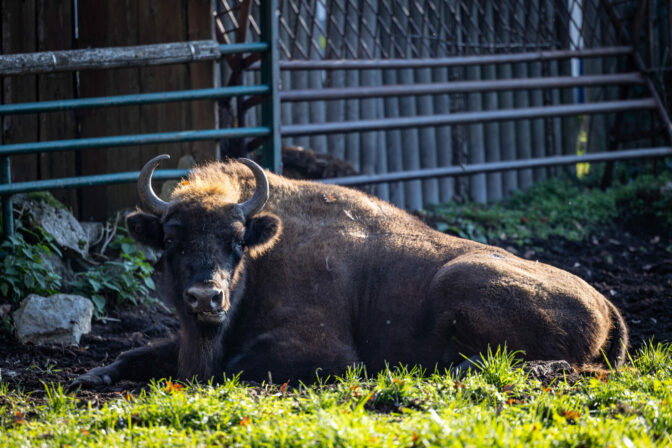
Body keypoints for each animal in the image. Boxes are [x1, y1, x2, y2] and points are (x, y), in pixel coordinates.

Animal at [73, 154, 632, 384]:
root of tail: (609, 305)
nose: (206, 298)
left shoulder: (329, 353)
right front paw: (92, 376)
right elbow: (135, 351)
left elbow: (231, 368)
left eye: (235, 241)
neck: (266, 258)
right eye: (170, 238)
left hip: (462, 280)